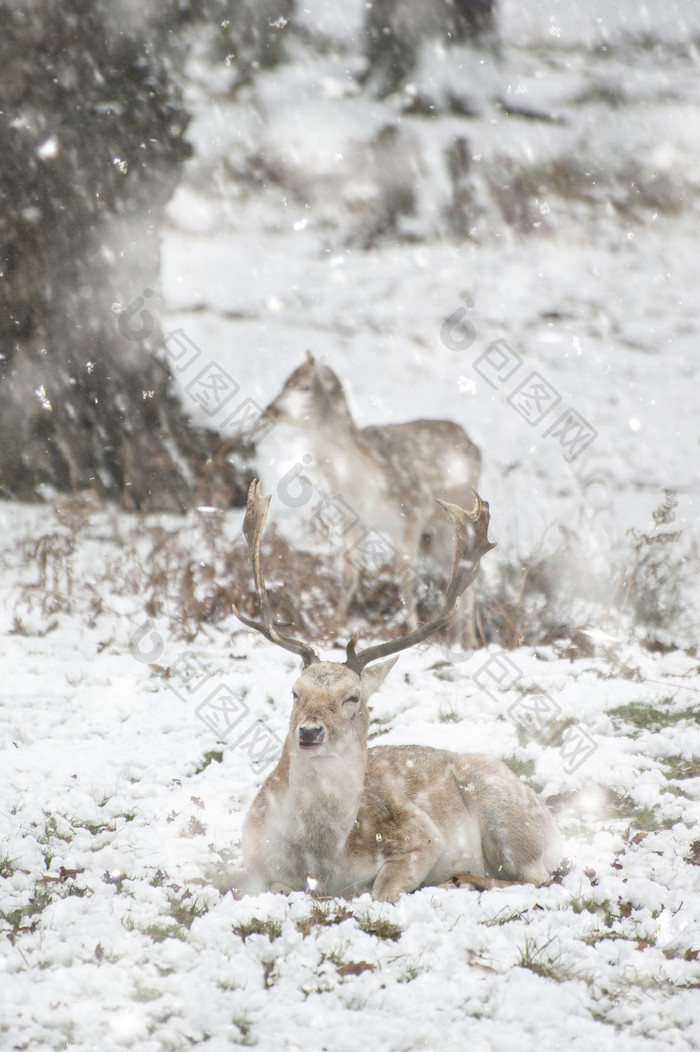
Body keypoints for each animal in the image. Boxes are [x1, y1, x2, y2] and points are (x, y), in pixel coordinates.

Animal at [234, 483, 564, 904]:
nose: (309, 731)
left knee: (537, 876)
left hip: (506, 810)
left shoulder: (421, 835)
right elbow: (269, 887)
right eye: (295, 692)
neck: (318, 861)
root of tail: (552, 826)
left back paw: (462, 879)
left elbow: (382, 890)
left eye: (353, 697)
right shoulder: (252, 859)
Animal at [265, 353, 484, 648]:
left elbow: (405, 575)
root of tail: (476, 448)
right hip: (433, 538)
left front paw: (412, 632)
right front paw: (334, 626)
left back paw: (469, 642)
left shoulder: (410, 514)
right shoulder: (350, 518)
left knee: (469, 574)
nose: (270, 410)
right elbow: (349, 571)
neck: (363, 482)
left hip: (455, 523)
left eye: (303, 387)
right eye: (284, 381)